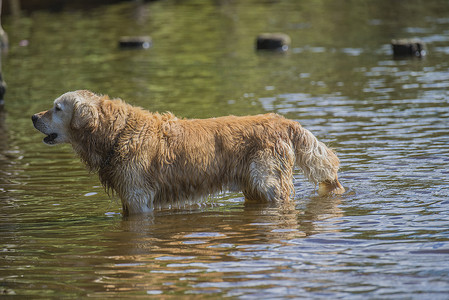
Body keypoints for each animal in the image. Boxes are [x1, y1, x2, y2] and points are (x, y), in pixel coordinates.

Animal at [31, 90, 344, 214]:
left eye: (57, 108)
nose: (33, 116)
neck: (117, 133)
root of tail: (282, 120)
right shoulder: (127, 199)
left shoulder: (138, 198)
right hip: (253, 186)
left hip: (268, 183)